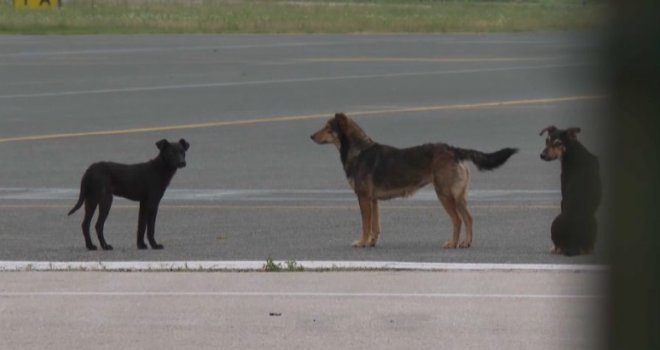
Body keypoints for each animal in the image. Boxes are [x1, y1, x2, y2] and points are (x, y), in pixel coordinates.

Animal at [312, 113, 520, 249]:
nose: (310, 136)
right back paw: (465, 243)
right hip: (459, 196)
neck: (359, 151)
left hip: (444, 195)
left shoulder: (363, 198)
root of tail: (453, 150)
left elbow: (365, 225)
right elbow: (375, 226)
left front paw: (361, 242)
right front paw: (371, 242)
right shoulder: (373, 200)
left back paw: (452, 243)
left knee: (457, 220)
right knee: (469, 218)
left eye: (328, 128)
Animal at [540, 127, 600, 256]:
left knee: (558, 247)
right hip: (594, 222)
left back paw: (553, 248)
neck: (572, 151)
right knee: (588, 248)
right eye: (546, 141)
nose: (542, 155)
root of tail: (572, 244)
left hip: (554, 223)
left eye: (558, 143)